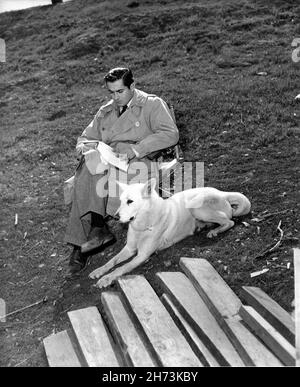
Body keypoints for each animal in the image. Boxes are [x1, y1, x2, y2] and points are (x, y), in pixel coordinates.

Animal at [89, 179, 251, 288]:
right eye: (121, 201)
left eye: (130, 201)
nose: (115, 217)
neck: (143, 224)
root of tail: (222, 193)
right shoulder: (129, 248)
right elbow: (112, 261)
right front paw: (98, 271)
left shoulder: (142, 255)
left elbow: (121, 267)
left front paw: (106, 279)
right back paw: (203, 227)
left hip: (196, 207)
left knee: (229, 222)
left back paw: (214, 231)